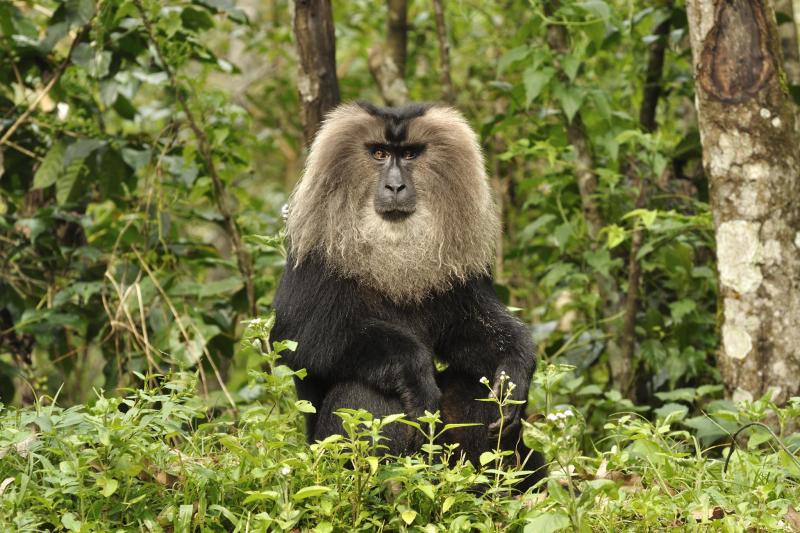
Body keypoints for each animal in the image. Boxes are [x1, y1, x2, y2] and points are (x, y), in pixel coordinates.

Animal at [271, 102, 546, 490]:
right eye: (380, 153)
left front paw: (515, 372)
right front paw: (414, 371)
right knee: (364, 392)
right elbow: (296, 337)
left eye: (410, 154)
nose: (395, 185)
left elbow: (476, 329)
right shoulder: (314, 256)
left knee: (473, 388)